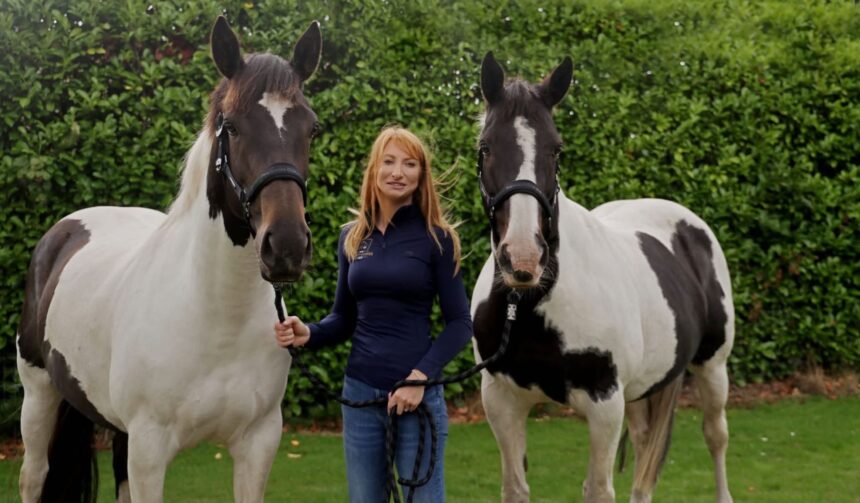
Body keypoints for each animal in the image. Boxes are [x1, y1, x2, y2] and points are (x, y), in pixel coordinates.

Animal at [15, 16, 321, 502]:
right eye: (232, 127)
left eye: (312, 129)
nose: (288, 245)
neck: (216, 317)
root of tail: (63, 231)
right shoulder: (150, 448)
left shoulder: (258, 443)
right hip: (38, 391)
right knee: (34, 476)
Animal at [470, 52, 735, 503]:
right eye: (485, 147)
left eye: (556, 149)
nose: (523, 258)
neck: (535, 304)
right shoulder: (502, 401)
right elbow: (516, 488)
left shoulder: (605, 404)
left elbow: (597, 489)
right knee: (645, 451)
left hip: (713, 367)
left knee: (715, 436)